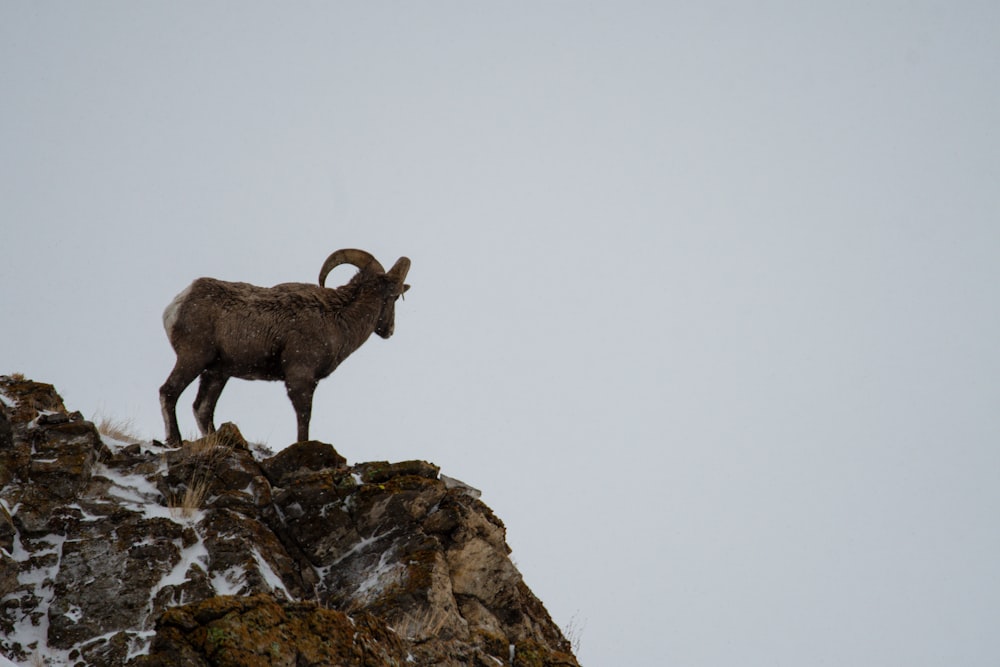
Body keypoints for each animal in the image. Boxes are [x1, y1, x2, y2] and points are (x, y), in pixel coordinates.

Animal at [158, 248, 408, 446]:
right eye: (395, 296)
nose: (389, 330)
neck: (337, 316)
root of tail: (176, 305)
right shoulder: (300, 377)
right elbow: (304, 417)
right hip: (193, 358)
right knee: (169, 391)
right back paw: (174, 440)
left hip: (216, 373)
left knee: (202, 408)